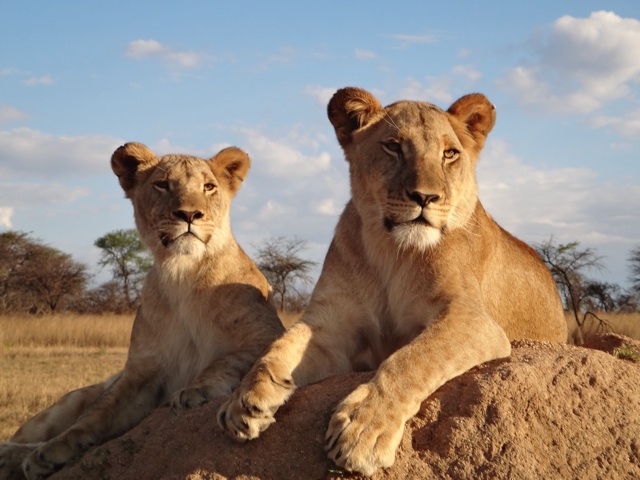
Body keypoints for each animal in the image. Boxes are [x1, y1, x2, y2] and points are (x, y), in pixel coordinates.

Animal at [0, 143, 284, 479]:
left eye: (209, 187)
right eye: (162, 185)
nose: (189, 214)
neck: (182, 273)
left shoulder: (268, 332)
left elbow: (229, 360)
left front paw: (195, 390)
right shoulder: (141, 372)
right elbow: (97, 416)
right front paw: (53, 450)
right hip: (66, 402)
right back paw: (15, 453)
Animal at [218, 87, 567, 476]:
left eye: (449, 154)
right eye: (393, 147)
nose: (425, 197)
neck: (393, 252)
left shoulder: (475, 319)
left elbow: (415, 358)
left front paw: (362, 432)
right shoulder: (332, 321)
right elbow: (280, 347)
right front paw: (244, 399)